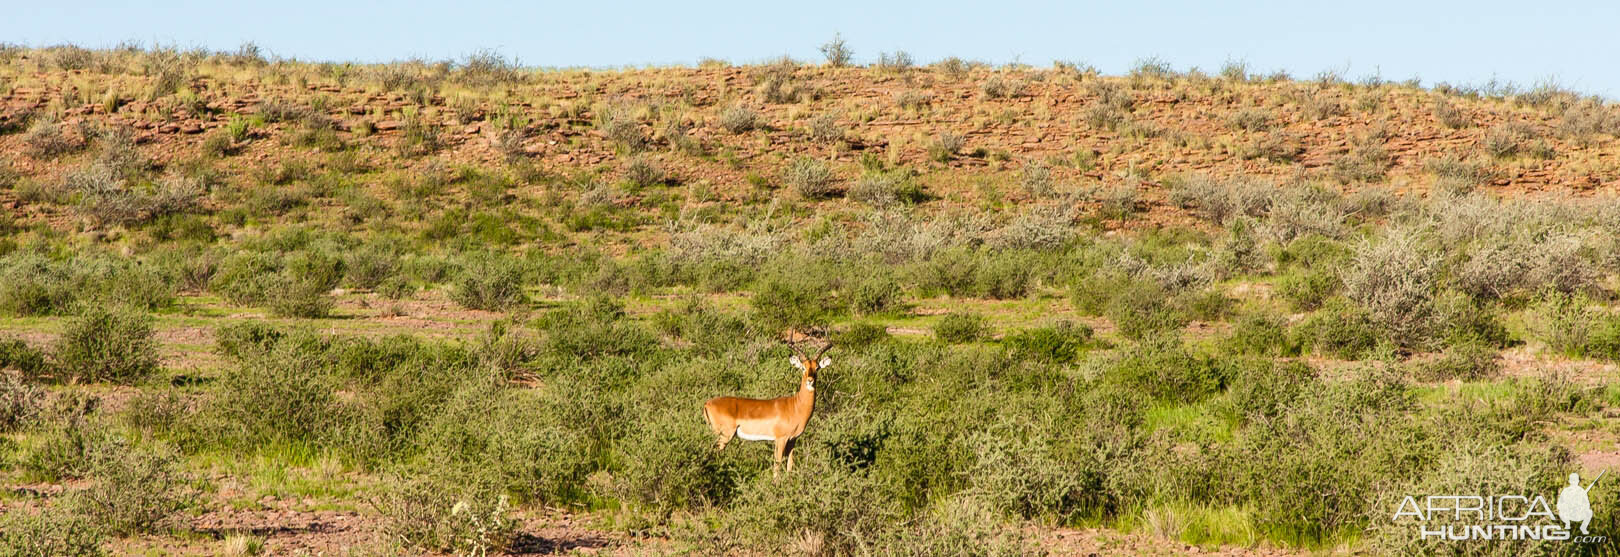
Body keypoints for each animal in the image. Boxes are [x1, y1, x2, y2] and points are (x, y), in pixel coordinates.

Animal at [706, 336, 835, 476]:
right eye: (803, 368)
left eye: (817, 368)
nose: (810, 381)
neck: (796, 406)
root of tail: (707, 403)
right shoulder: (781, 439)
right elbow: (777, 465)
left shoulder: (793, 440)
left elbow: (790, 465)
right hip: (725, 435)